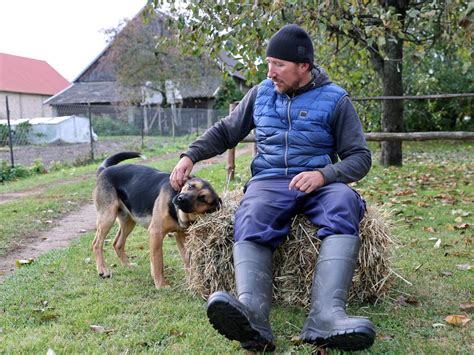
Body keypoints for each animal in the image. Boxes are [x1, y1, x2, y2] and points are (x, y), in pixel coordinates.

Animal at [91, 152, 221, 290]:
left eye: (202, 198)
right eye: (191, 186)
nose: (180, 198)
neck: (177, 212)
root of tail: (104, 170)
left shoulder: (181, 236)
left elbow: (187, 260)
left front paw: (191, 281)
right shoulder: (156, 233)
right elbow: (158, 262)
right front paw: (161, 284)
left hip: (128, 221)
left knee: (117, 243)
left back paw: (127, 265)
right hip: (107, 217)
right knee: (96, 243)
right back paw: (103, 270)